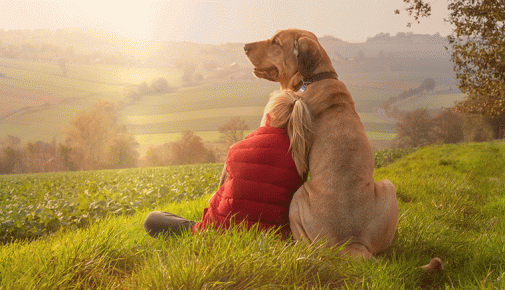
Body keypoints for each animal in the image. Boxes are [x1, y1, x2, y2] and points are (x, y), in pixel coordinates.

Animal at [244, 28, 398, 258]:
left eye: (276, 42)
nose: (245, 46)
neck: (313, 78)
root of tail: (352, 242)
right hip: (389, 187)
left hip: (298, 197)